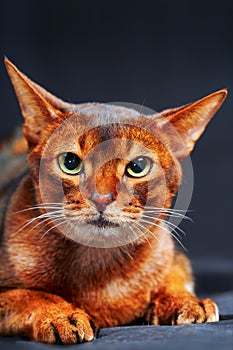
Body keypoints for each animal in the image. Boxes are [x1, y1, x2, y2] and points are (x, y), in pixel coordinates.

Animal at [0, 58, 227, 344]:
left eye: (138, 166)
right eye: (70, 162)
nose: (102, 198)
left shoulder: (173, 255)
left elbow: (174, 276)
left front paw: (185, 301)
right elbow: (28, 295)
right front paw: (60, 315)